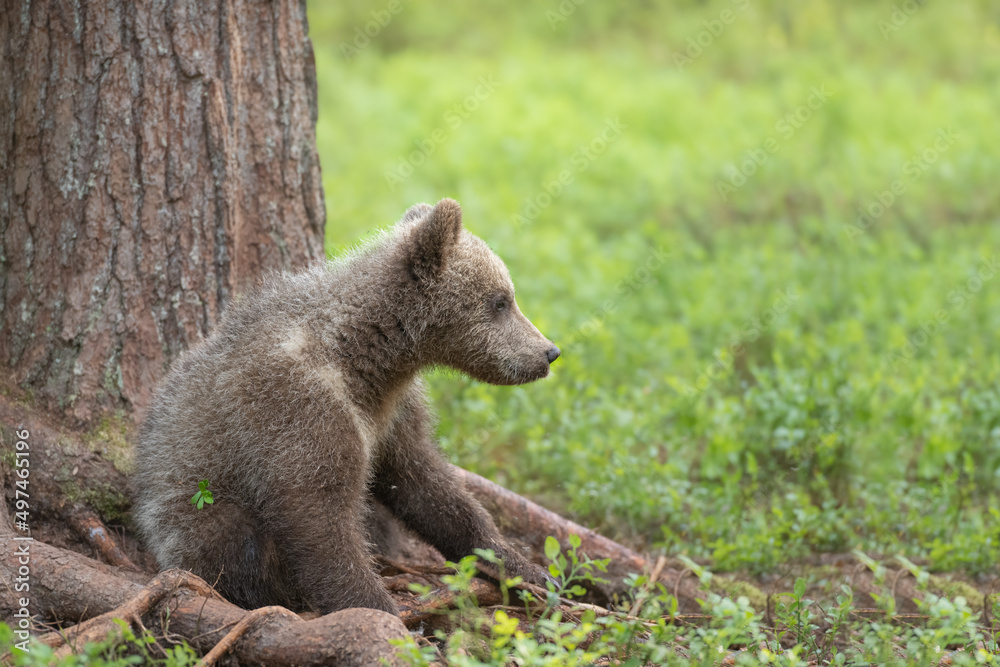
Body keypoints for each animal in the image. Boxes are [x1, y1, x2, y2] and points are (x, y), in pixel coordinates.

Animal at [133, 198, 561, 614]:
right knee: (235, 541)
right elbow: (318, 514)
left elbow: (426, 482)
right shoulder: (298, 405)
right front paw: (379, 609)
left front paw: (525, 567)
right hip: (195, 506)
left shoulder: (393, 410)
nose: (548, 352)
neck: (365, 358)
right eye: (500, 301)